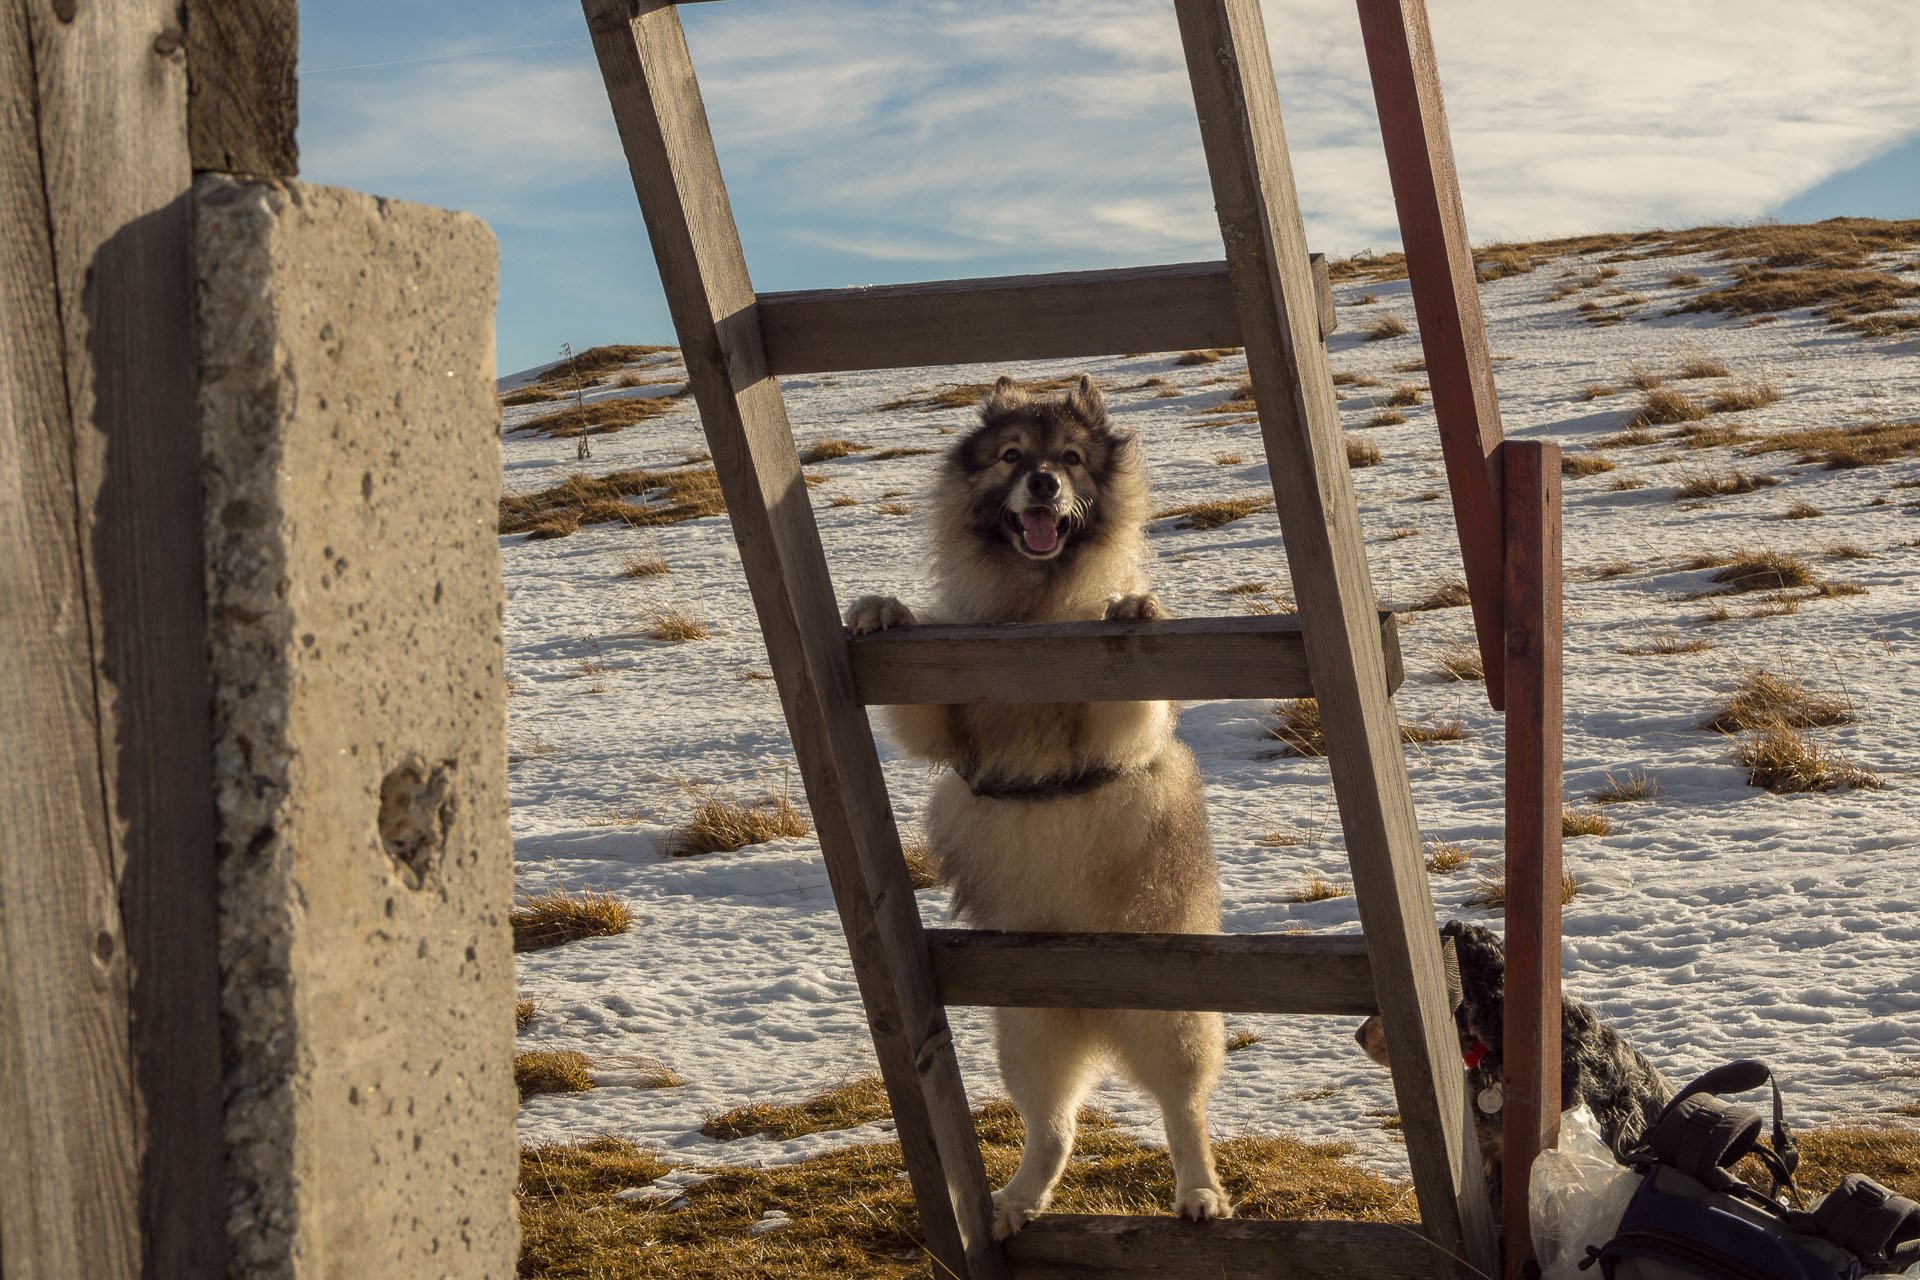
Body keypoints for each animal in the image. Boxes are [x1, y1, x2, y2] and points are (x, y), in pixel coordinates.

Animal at [844, 378, 1228, 1243]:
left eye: (1072, 460)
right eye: (1014, 456)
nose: (1045, 484)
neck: (1029, 617)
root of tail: (1095, 1010)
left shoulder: (1118, 728)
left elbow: (1126, 698)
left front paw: (1134, 606)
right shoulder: (944, 721)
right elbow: (921, 704)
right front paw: (886, 609)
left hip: (1173, 1017)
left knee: (1183, 1113)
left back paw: (1198, 1193)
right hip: (1027, 1030)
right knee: (1055, 1129)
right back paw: (1017, 1201)